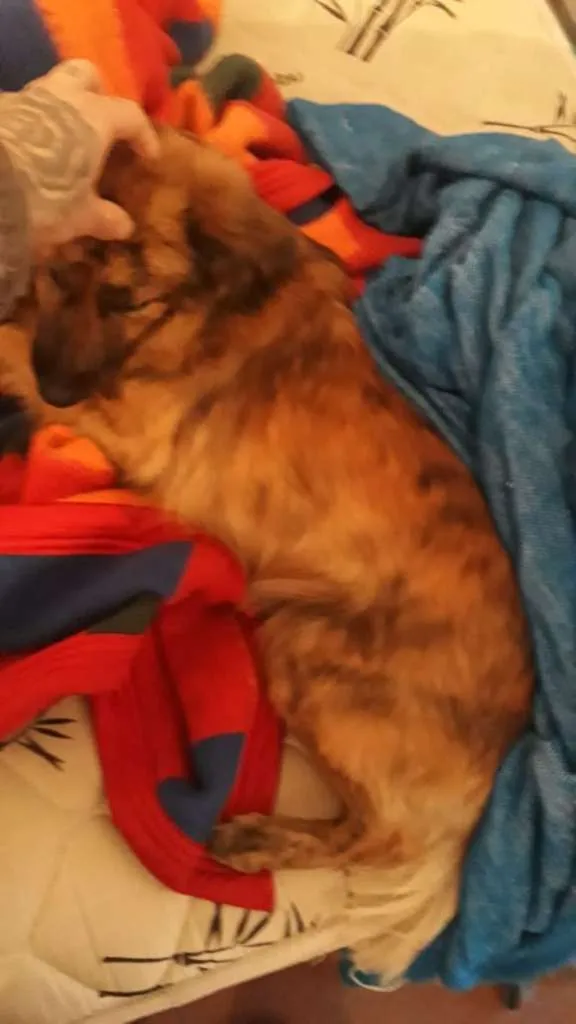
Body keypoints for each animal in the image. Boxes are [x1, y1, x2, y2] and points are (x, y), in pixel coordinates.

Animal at [0, 127, 533, 980]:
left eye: (127, 301)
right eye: (56, 274)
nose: (57, 393)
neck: (201, 313)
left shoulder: (135, 429)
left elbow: (9, 345)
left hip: (311, 651)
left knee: (379, 839)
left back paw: (260, 841)